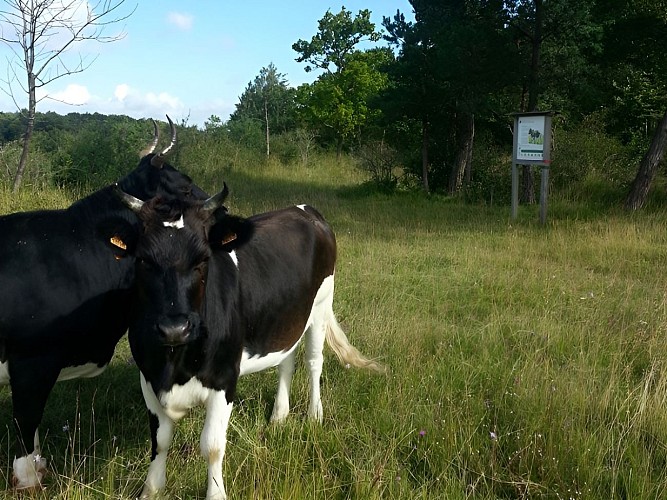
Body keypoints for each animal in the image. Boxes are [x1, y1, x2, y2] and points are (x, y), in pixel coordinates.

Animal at [0, 116, 207, 490]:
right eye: (184, 187)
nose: (222, 208)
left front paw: (39, 466)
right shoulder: (32, 360)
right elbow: (27, 420)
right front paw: (28, 479)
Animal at [108, 185, 385, 499]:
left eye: (203, 260)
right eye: (143, 260)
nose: (174, 328)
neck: (174, 366)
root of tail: (304, 210)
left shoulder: (224, 378)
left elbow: (212, 446)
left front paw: (216, 494)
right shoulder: (148, 377)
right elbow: (160, 440)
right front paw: (151, 490)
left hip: (321, 303)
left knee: (314, 361)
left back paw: (315, 416)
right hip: (286, 318)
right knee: (286, 362)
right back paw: (278, 417)